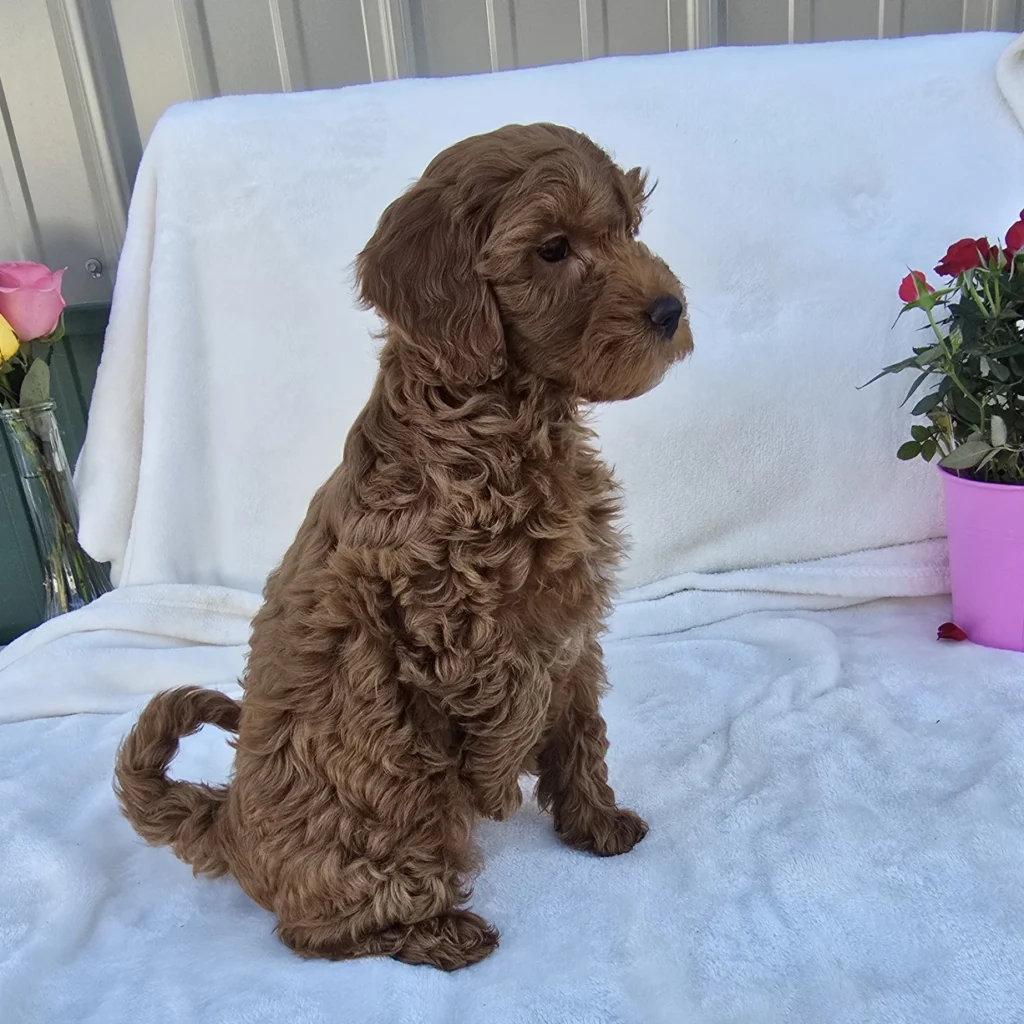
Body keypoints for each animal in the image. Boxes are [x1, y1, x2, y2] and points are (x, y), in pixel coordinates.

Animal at [114, 122, 692, 971]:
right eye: (553, 249)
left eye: (628, 229)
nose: (669, 307)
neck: (507, 421)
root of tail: (227, 824)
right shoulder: (463, 626)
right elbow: (516, 705)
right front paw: (495, 789)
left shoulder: (573, 621)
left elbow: (581, 724)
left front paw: (594, 821)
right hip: (385, 811)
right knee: (312, 930)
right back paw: (436, 932)